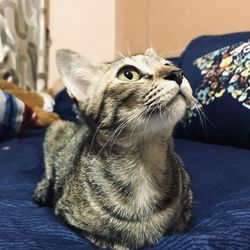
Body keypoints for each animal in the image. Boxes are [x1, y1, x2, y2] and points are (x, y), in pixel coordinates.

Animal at [32, 47, 193, 249]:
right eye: (128, 74)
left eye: (167, 64)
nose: (178, 73)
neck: (144, 163)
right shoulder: (68, 215)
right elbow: (111, 240)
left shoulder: (186, 211)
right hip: (57, 128)